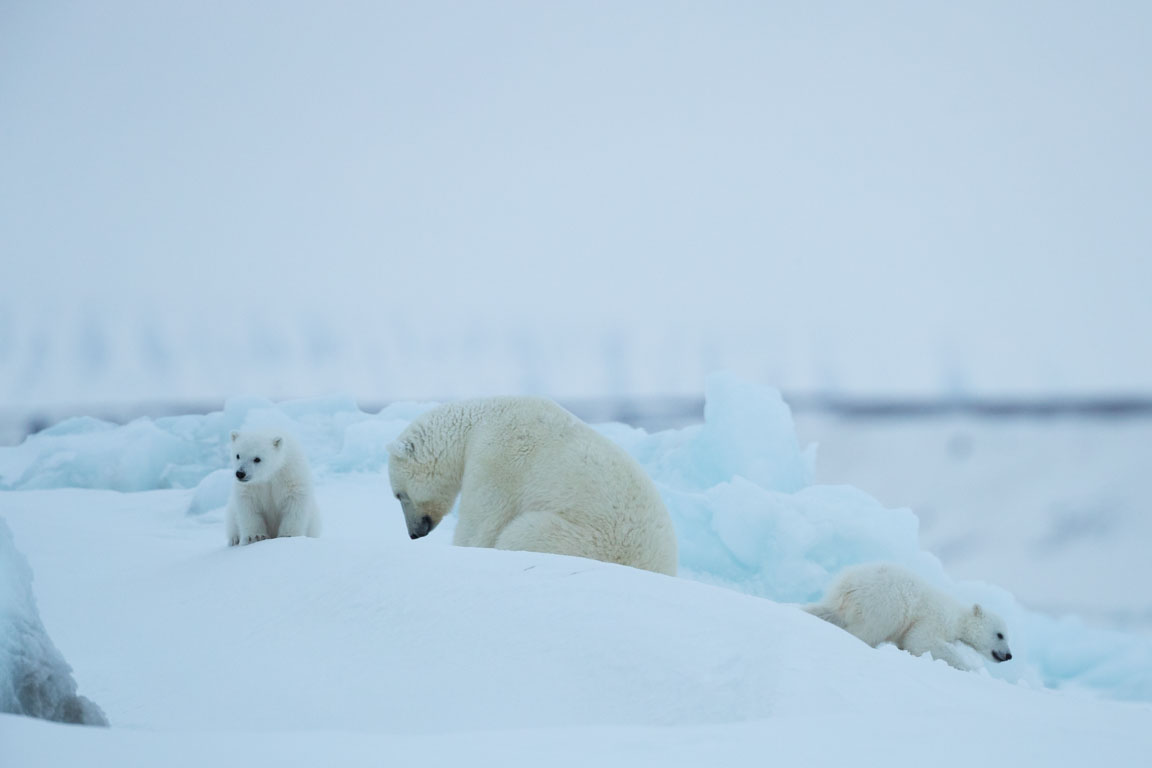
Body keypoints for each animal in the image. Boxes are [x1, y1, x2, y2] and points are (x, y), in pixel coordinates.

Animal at [382, 400, 677, 573]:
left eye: (399, 495)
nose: (414, 534)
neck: (476, 422)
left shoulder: (496, 459)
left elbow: (481, 523)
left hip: (592, 541)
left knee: (521, 533)